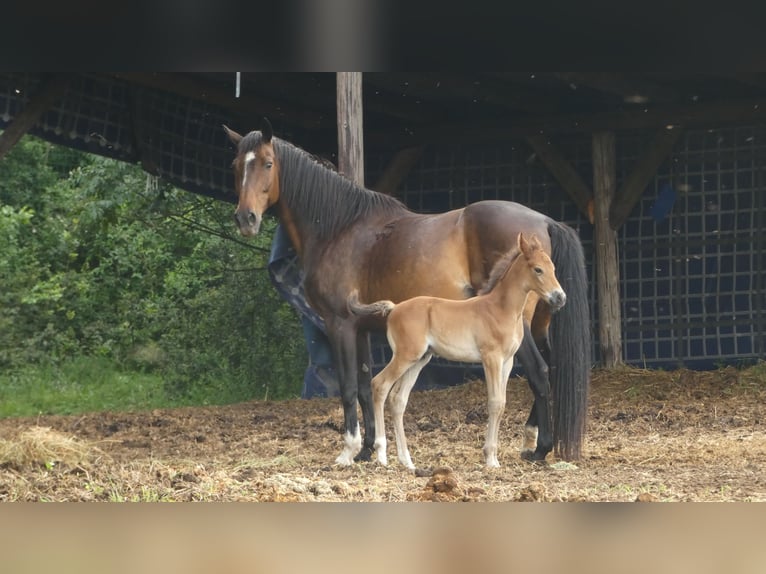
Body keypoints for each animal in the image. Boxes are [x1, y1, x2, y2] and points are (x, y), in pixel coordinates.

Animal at [347, 232, 566, 469]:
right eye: (537, 269)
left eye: (553, 267)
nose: (560, 297)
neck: (501, 309)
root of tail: (394, 308)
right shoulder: (491, 358)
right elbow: (495, 402)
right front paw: (490, 459)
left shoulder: (507, 361)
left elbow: (502, 403)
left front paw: (493, 457)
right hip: (405, 356)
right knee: (380, 385)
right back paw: (381, 454)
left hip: (419, 360)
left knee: (398, 400)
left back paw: (407, 461)